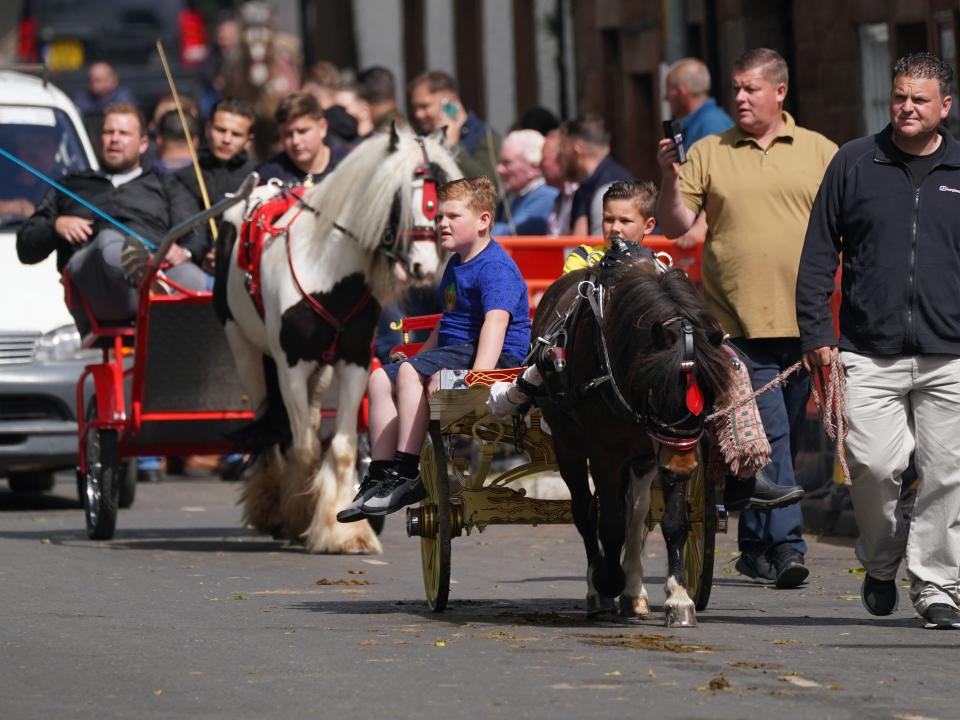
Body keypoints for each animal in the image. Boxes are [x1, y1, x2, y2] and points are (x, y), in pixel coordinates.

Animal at [219, 126, 460, 556]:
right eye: (399, 198)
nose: (424, 267)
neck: (326, 270)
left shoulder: (353, 361)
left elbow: (344, 448)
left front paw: (342, 530)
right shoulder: (291, 365)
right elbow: (303, 446)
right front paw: (299, 517)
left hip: (321, 370)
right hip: (246, 350)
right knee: (273, 434)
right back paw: (272, 506)